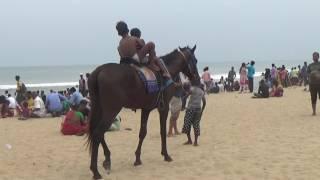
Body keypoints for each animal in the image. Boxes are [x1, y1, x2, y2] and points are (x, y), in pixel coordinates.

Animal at [86, 45, 199, 179]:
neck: (167, 69)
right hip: (111, 110)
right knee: (98, 133)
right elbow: (162, 131)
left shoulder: (146, 109)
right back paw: (95, 170)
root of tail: (99, 71)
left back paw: (107, 159)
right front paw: (166, 155)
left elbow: (142, 133)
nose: (197, 78)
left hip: (99, 108)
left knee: (97, 132)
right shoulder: (164, 108)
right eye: (195, 60)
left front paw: (137, 158)